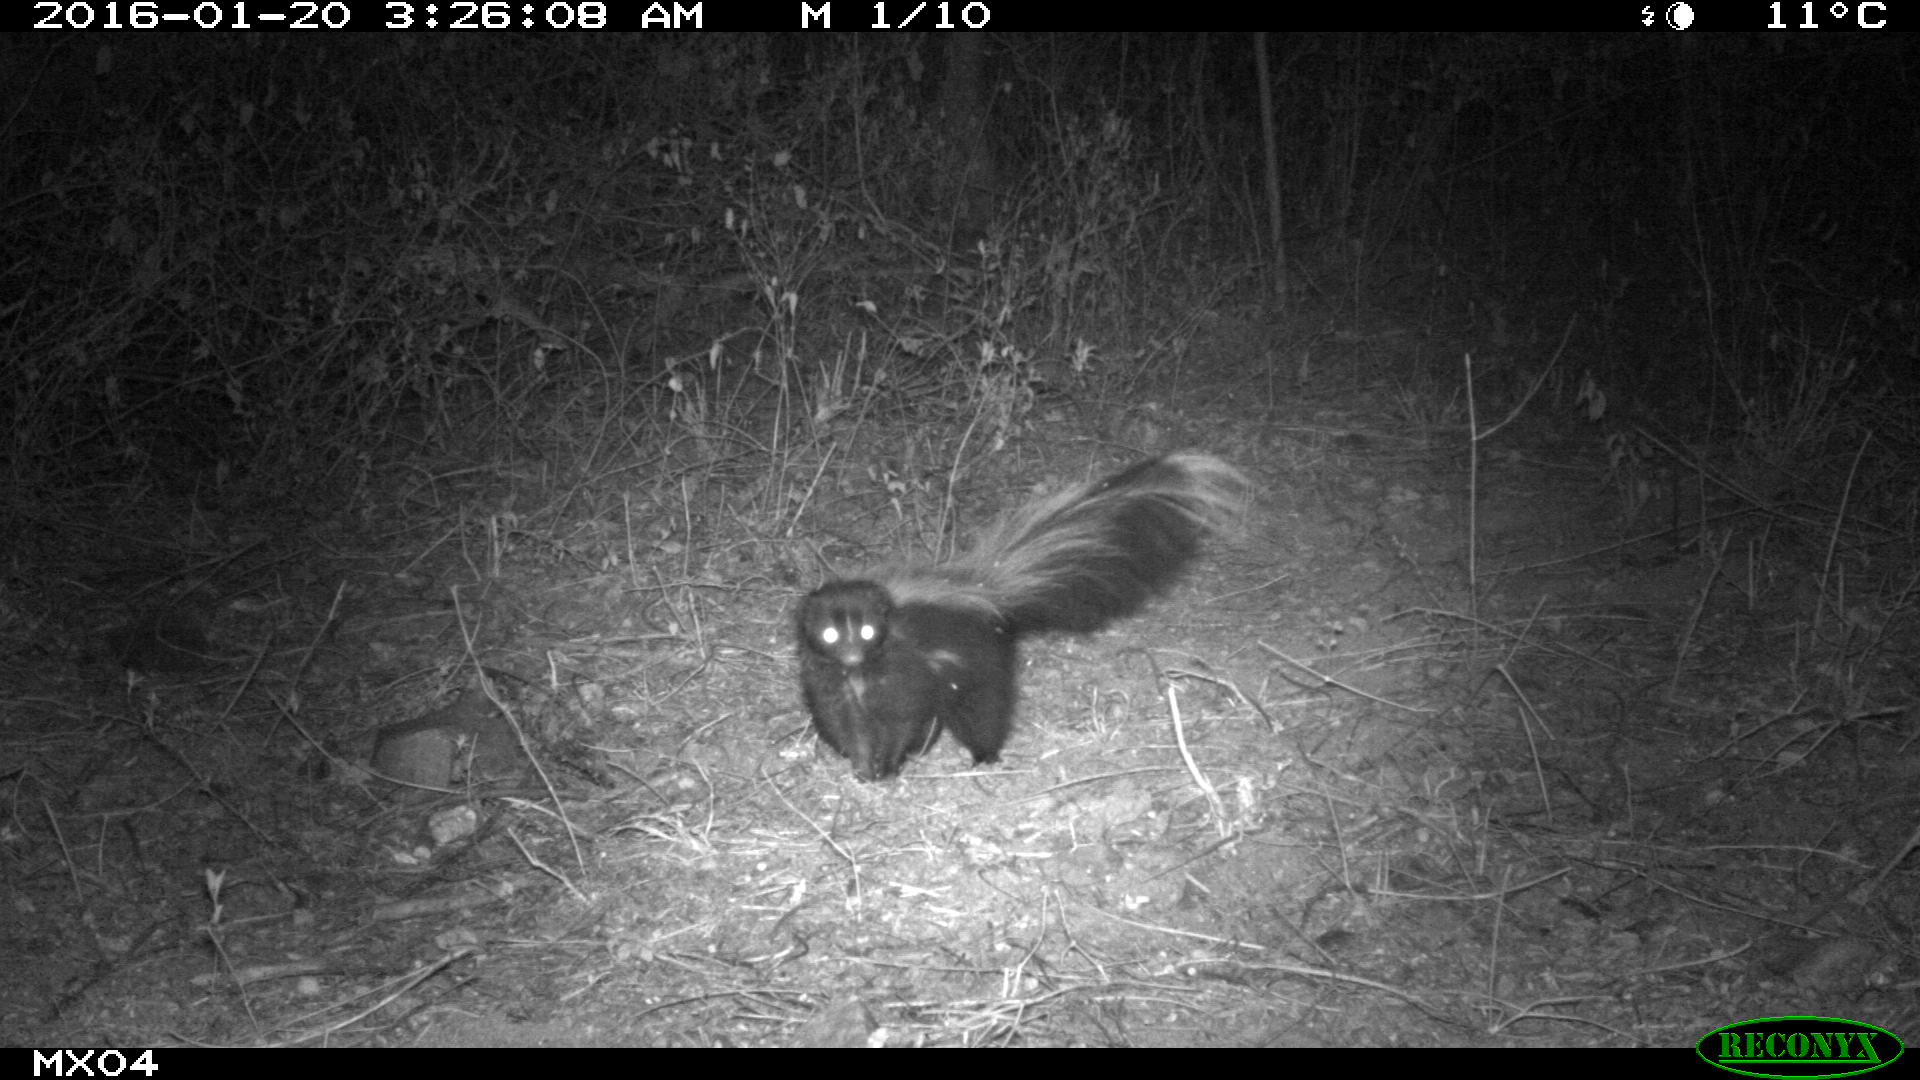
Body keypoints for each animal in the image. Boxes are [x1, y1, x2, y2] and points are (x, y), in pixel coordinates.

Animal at [794, 449, 1244, 776]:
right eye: (831, 635)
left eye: (868, 631)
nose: (853, 655)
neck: (860, 677)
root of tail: (989, 590)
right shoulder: (833, 686)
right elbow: (848, 726)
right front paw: (862, 766)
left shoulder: (902, 674)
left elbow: (899, 721)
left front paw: (886, 765)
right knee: (943, 715)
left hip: (979, 664)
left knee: (983, 712)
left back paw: (984, 756)